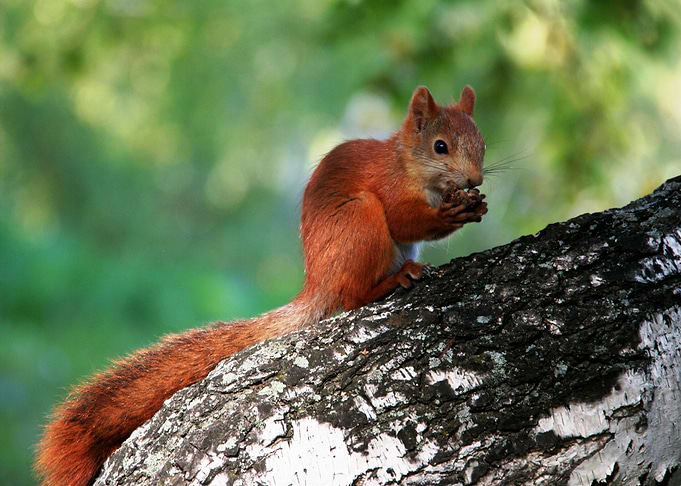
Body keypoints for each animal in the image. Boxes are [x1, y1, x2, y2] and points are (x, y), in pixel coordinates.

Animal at [35, 85, 488, 486]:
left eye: (482, 143)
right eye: (440, 147)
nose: (475, 180)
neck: (413, 169)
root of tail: (318, 283)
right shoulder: (390, 189)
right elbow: (406, 220)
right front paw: (452, 214)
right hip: (360, 225)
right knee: (351, 296)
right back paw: (391, 280)